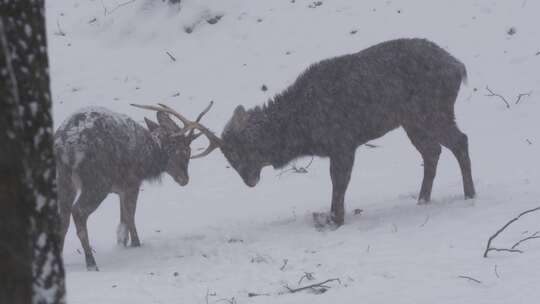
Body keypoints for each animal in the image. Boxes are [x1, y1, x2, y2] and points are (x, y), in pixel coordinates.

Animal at [53, 102, 216, 270]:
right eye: (184, 151)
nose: (185, 180)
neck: (148, 158)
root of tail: (65, 148)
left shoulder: (120, 189)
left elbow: (122, 221)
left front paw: (122, 245)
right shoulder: (132, 182)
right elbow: (130, 217)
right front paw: (136, 244)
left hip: (63, 181)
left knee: (63, 217)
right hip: (98, 182)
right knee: (78, 211)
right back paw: (91, 262)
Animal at [194, 38, 476, 227]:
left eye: (239, 151)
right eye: (228, 158)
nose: (249, 181)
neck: (303, 130)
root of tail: (459, 67)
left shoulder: (342, 142)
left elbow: (339, 181)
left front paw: (335, 218)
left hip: (433, 110)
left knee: (460, 141)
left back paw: (469, 195)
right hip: (413, 122)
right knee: (433, 151)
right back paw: (422, 199)